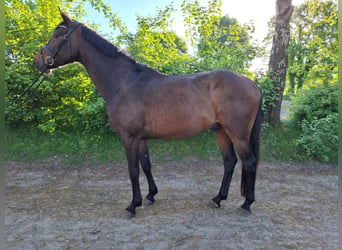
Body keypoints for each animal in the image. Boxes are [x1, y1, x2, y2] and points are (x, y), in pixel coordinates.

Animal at [34, 9, 262, 216]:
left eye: (57, 35)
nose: (37, 62)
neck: (124, 83)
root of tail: (251, 83)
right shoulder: (140, 138)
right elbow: (146, 165)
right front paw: (151, 195)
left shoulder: (128, 137)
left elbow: (133, 170)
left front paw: (133, 205)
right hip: (221, 131)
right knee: (230, 162)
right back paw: (218, 198)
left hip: (238, 134)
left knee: (249, 162)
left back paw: (247, 203)